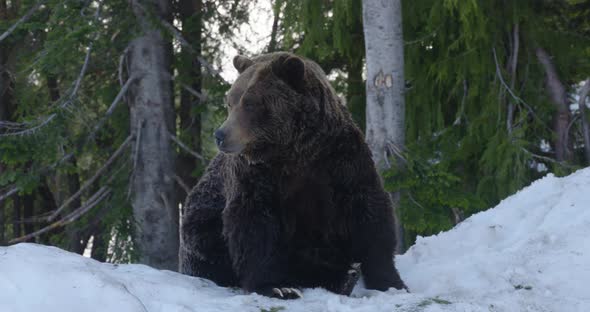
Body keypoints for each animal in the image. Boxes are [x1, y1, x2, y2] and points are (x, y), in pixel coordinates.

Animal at [180, 52, 410, 298]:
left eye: (250, 103)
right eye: (230, 101)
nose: (221, 135)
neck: (296, 151)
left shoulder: (341, 161)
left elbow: (369, 213)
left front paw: (391, 282)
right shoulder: (258, 175)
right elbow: (255, 221)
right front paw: (276, 286)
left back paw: (346, 274)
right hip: (202, 223)